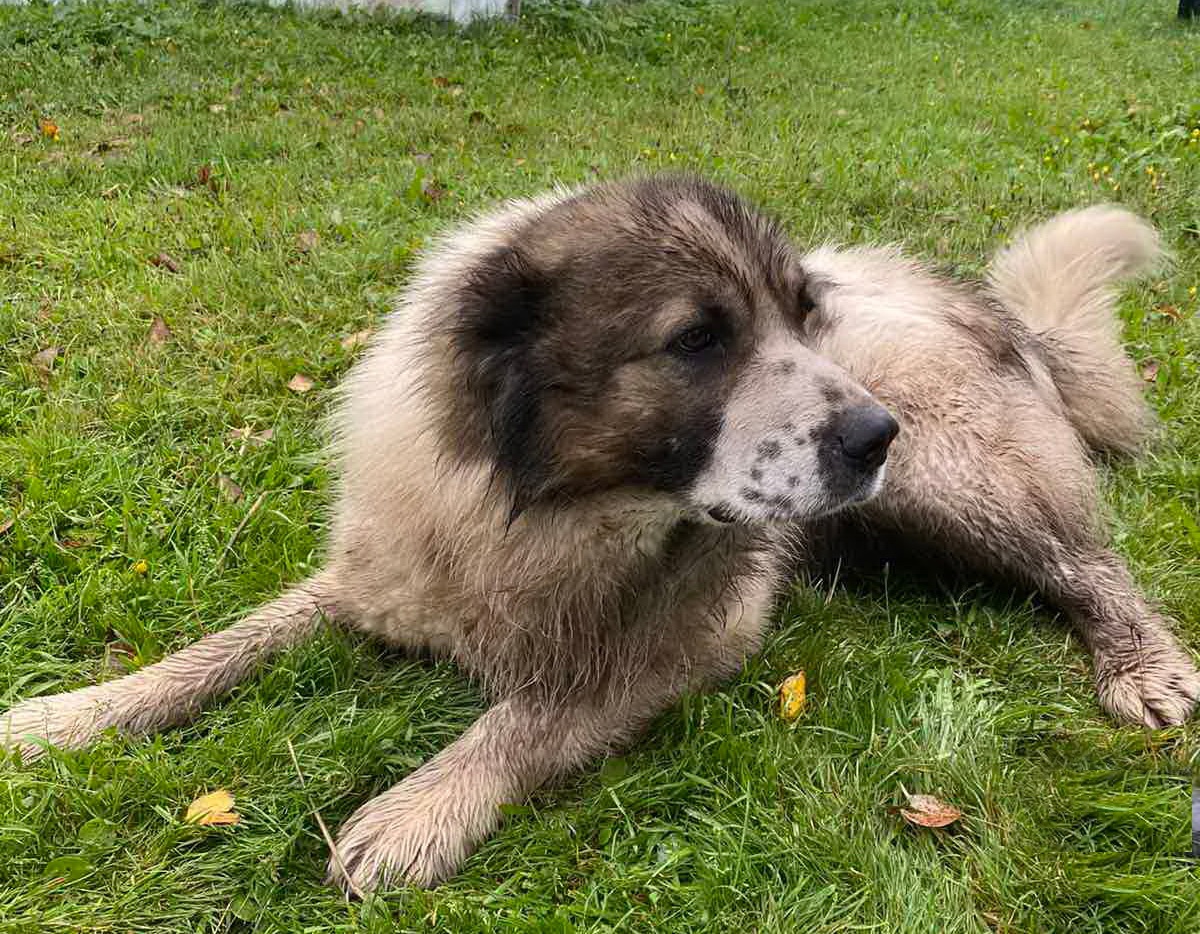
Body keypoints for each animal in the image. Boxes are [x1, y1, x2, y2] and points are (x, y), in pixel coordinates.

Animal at [4, 175, 1195, 888]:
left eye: (801, 321)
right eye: (698, 340)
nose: (873, 433)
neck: (542, 514)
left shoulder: (675, 646)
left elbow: (527, 717)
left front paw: (415, 811)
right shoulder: (368, 578)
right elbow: (215, 650)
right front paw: (72, 716)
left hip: (960, 484)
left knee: (1089, 561)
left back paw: (1140, 663)